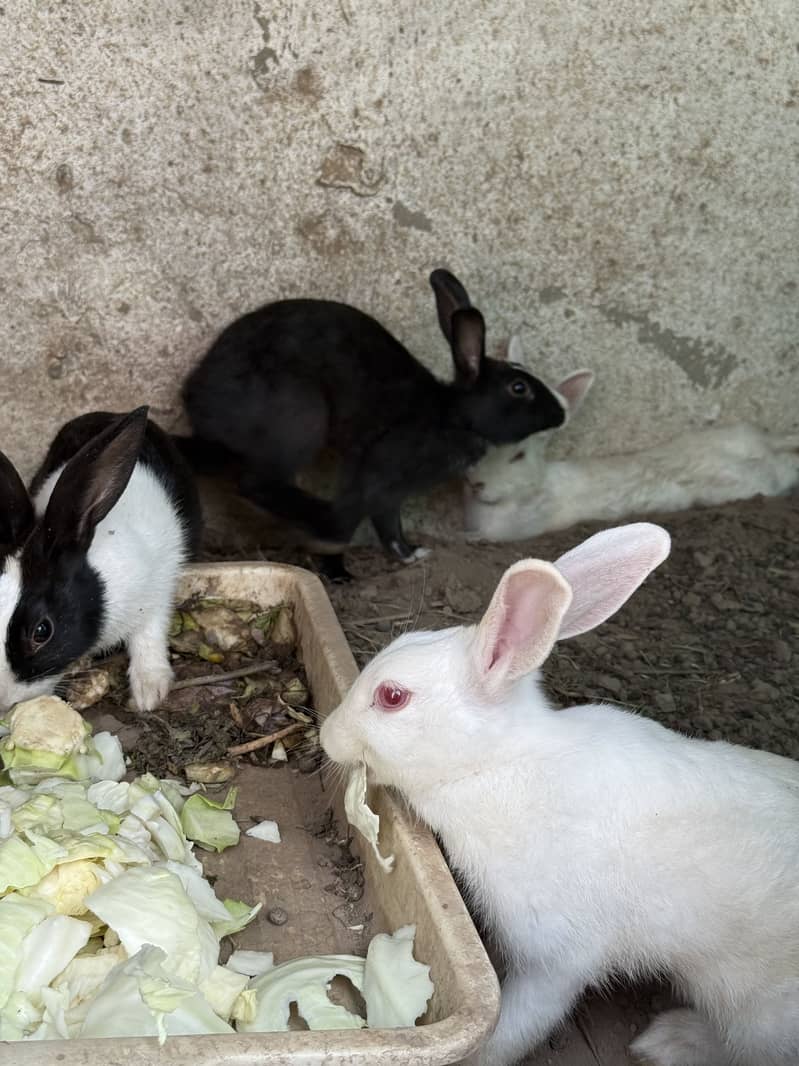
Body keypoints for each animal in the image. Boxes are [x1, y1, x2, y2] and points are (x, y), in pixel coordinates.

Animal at [177, 270, 566, 579]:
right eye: (519, 388)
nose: (562, 413)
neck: (453, 416)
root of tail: (197, 396)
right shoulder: (380, 472)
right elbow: (371, 516)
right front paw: (341, 565)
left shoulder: (384, 486)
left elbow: (389, 523)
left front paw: (411, 554)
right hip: (300, 420)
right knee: (256, 483)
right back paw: (320, 517)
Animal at [320, 522, 799, 1066]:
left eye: (392, 696)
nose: (327, 735)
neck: (499, 764)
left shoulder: (557, 956)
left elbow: (519, 1023)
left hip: (757, 1012)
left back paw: (670, 1040)